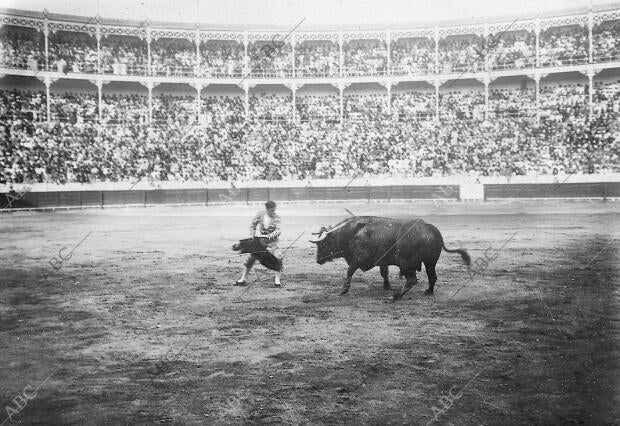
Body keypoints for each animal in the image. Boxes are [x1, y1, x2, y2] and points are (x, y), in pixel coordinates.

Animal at [310, 216, 470, 300]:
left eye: (322, 244)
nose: (317, 260)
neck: (352, 233)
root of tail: (428, 227)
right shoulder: (383, 261)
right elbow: (384, 273)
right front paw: (386, 286)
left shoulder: (358, 259)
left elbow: (349, 272)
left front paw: (343, 290)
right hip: (430, 262)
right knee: (432, 277)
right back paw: (428, 292)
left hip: (407, 263)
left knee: (412, 280)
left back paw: (396, 296)